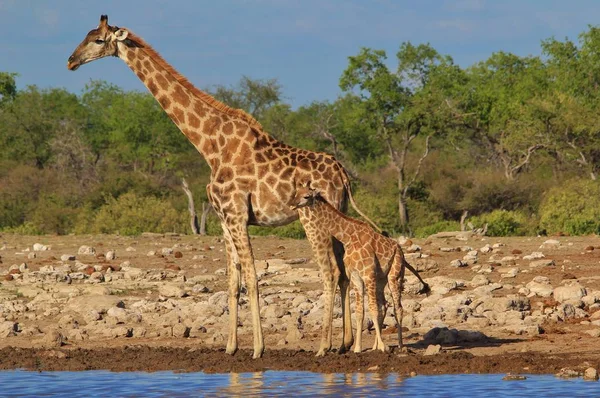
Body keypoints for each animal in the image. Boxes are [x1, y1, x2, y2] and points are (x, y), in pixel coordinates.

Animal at [67, 15, 380, 360]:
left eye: (98, 40)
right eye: (86, 36)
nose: (71, 61)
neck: (210, 145)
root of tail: (343, 175)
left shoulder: (237, 214)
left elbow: (252, 277)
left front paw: (258, 348)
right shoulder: (223, 219)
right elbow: (232, 281)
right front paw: (230, 346)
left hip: (316, 220)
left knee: (331, 271)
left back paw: (324, 345)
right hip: (338, 215)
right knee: (344, 273)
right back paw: (344, 343)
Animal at [290, 180, 426, 352]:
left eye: (306, 196)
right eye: (296, 193)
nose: (292, 204)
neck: (348, 237)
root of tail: (400, 249)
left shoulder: (368, 273)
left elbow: (372, 309)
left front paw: (383, 347)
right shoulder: (355, 276)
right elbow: (360, 312)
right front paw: (358, 348)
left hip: (395, 275)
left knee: (398, 308)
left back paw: (400, 346)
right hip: (380, 280)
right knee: (384, 305)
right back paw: (375, 346)